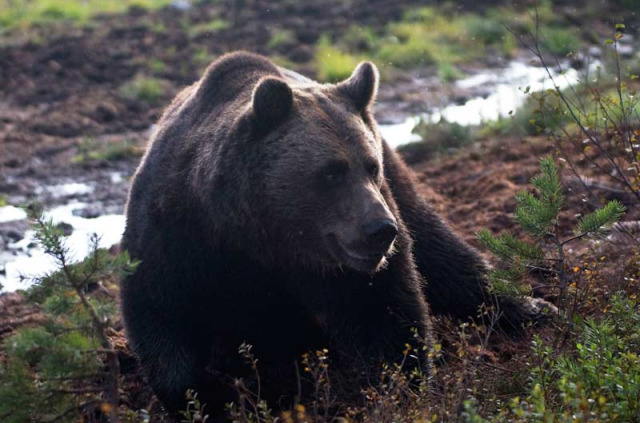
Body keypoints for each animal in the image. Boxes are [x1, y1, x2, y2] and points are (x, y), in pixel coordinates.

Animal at [119, 53, 544, 420]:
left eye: (370, 167)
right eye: (331, 172)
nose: (381, 229)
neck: (263, 236)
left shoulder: (347, 264)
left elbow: (383, 316)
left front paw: (403, 392)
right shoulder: (179, 235)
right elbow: (159, 314)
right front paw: (208, 400)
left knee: (441, 252)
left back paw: (530, 307)